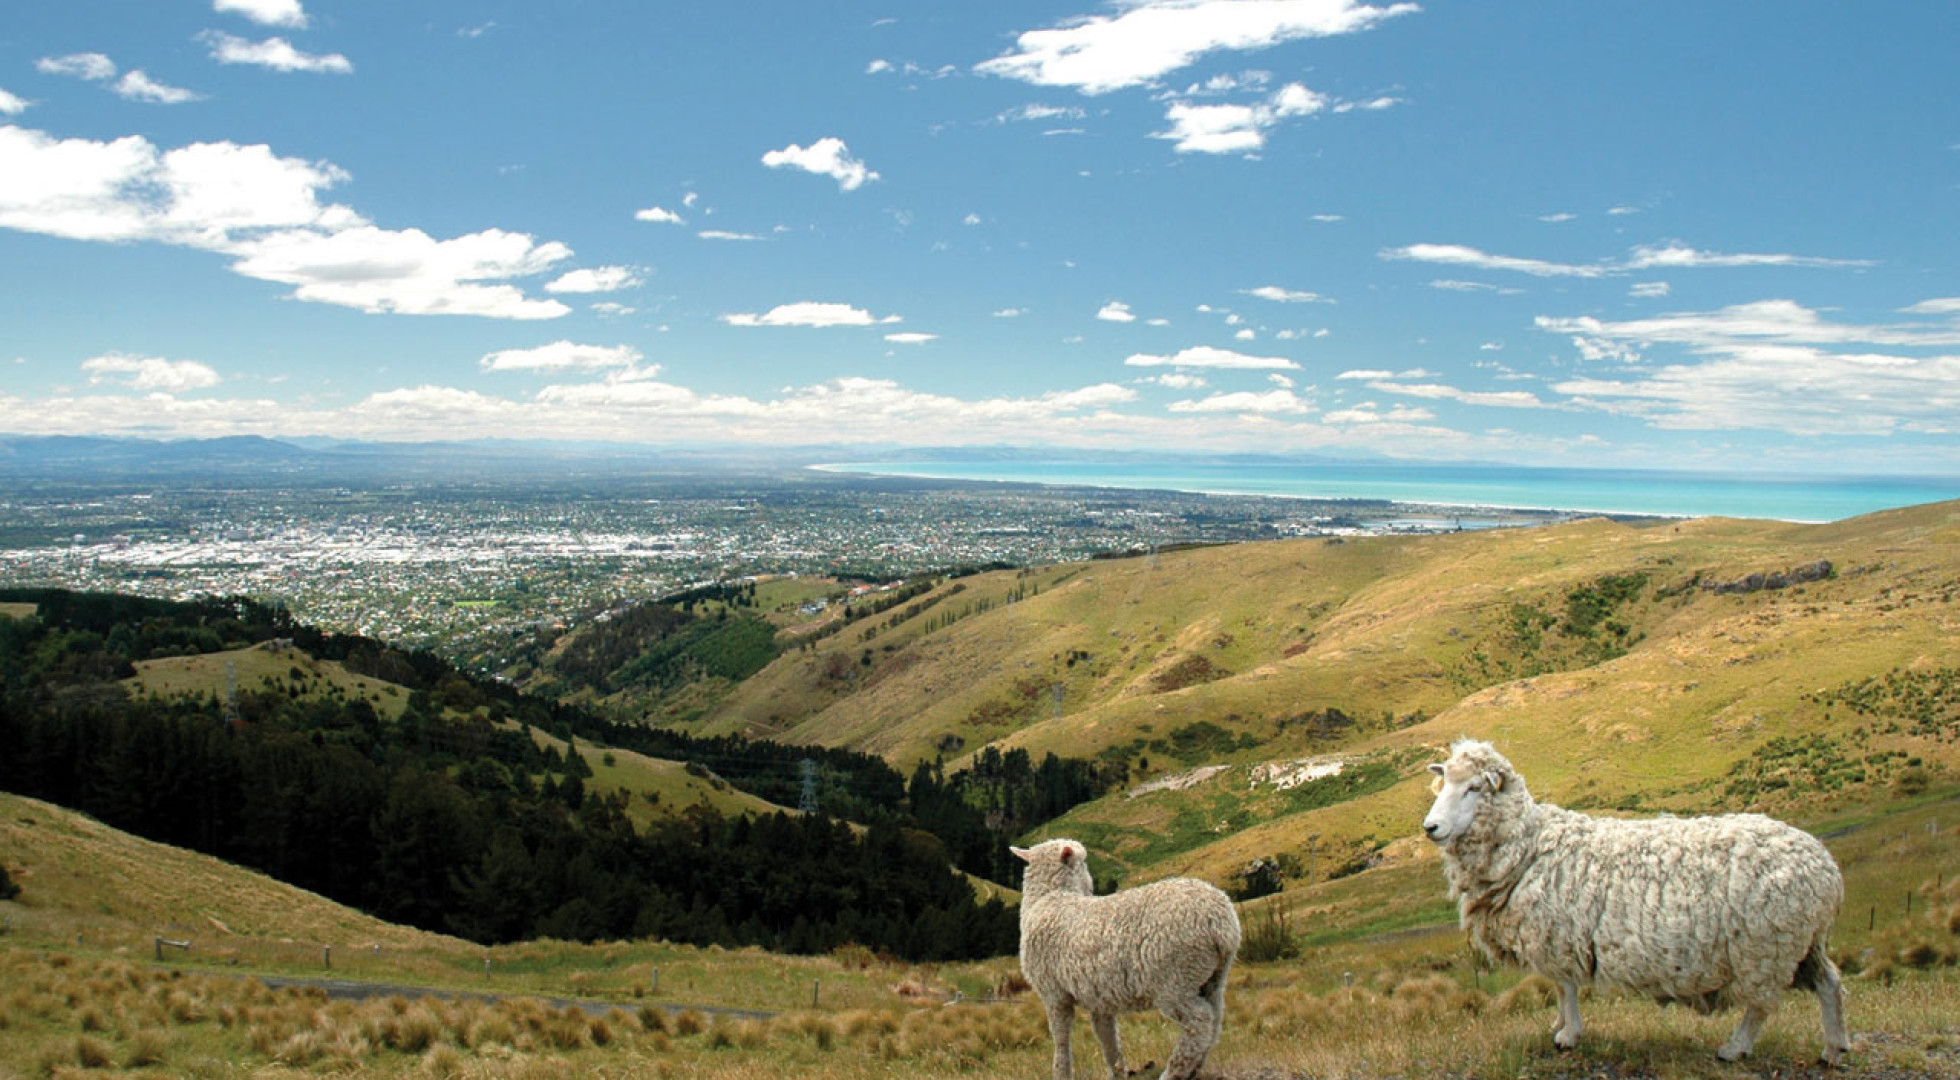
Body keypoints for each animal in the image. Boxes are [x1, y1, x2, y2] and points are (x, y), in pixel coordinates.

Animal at [1012, 838, 1241, 1080]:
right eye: (1084, 863)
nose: (1091, 887)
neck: (1050, 899)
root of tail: (1220, 922)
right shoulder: (1098, 996)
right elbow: (1106, 1035)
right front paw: (1118, 1070)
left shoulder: (1054, 993)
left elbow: (1061, 1038)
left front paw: (1061, 1073)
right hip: (1212, 976)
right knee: (1214, 1019)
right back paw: (1194, 1068)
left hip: (1175, 979)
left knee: (1199, 1022)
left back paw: (1173, 1072)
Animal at [1422, 739, 1849, 1064]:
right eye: (1442, 786)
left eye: (1474, 788)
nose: (1430, 827)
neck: (1528, 844)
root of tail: (1825, 865)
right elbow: (1560, 992)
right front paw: (1559, 1026)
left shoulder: (1558, 937)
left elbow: (1565, 989)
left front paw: (1568, 1035)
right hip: (1803, 942)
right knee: (1829, 982)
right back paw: (1833, 1048)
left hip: (1765, 948)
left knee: (1760, 1007)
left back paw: (1734, 1048)